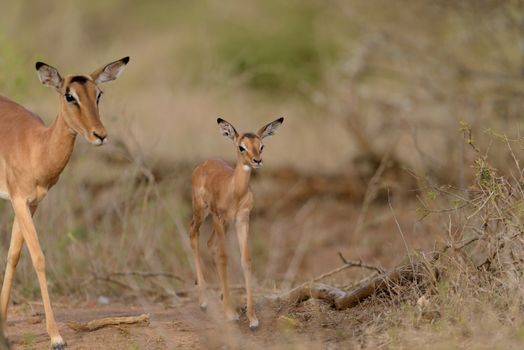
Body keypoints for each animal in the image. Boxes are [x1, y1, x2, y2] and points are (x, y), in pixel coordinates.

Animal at [0, 56, 129, 348]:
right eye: (69, 95)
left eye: (98, 94)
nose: (100, 134)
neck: (35, 146)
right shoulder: (18, 200)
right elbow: (38, 258)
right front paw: (56, 337)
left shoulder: (31, 203)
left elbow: (14, 255)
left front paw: (2, 332)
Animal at [189, 116, 282, 330]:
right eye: (241, 147)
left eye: (261, 145)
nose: (257, 161)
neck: (234, 191)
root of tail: (203, 164)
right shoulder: (218, 217)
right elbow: (224, 257)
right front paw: (230, 314)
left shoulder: (242, 220)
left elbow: (246, 260)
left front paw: (253, 318)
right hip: (202, 212)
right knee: (193, 234)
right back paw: (204, 302)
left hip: (223, 223)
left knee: (210, 244)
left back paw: (222, 297)